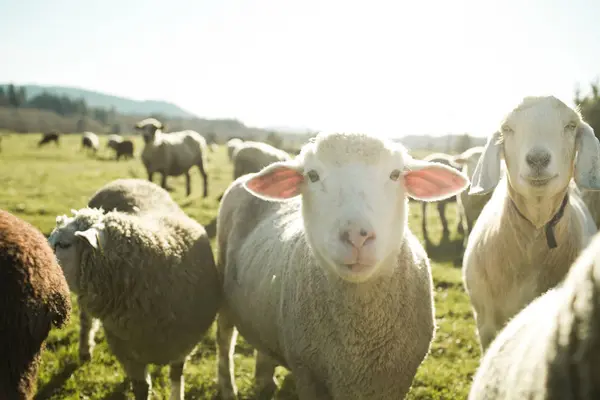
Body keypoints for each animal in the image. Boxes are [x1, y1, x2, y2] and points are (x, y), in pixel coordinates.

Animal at [47, 179, 220, 400]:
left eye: (63, 244)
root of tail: (126, 180)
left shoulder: (183, 344)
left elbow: (176, 377)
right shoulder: (126, 351)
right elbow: (141, 388)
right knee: (87, 321)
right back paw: (85, 351)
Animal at [214, 130, 468, 398]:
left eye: (395, 174)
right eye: (312, 175)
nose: (357, 235)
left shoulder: (395, 380)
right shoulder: (308, 375)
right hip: (223, 290)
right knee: (224, 338)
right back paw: (228, 387)